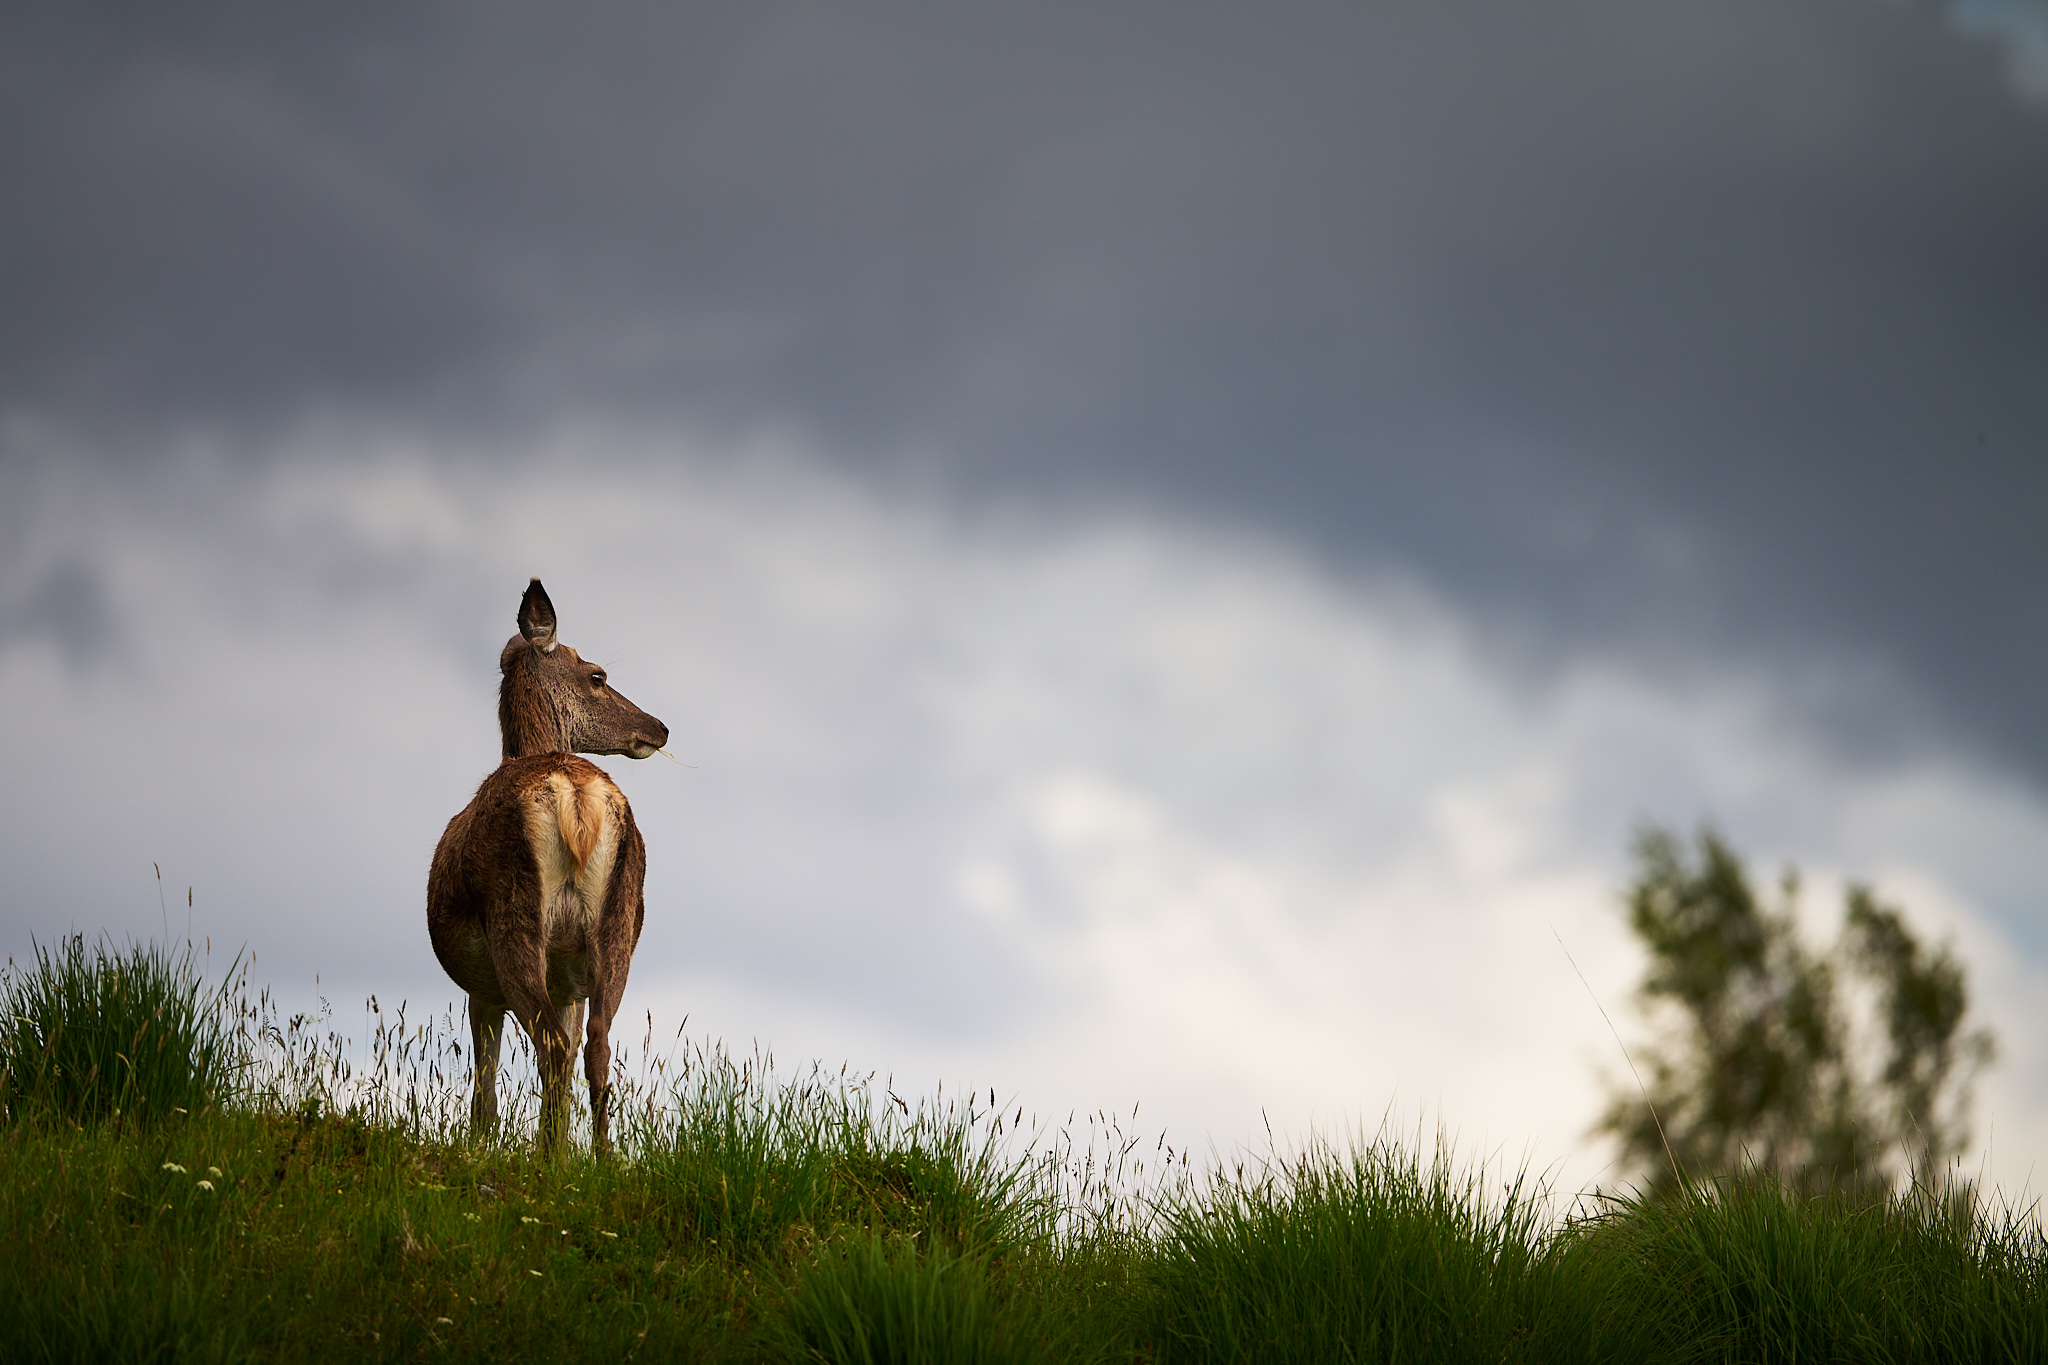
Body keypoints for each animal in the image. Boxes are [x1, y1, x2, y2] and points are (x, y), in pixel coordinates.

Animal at [428, 579, 669, 1155]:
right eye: (597, 675)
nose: (659, 727)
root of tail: (577, 795)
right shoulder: (568, 985)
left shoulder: (480, 988)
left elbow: (485, 1086)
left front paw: (480, 1147)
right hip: (617, 922)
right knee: (595, 1044)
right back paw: (598, 1157)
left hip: (513, 917)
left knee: (552, 1049)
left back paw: (551, 1158)